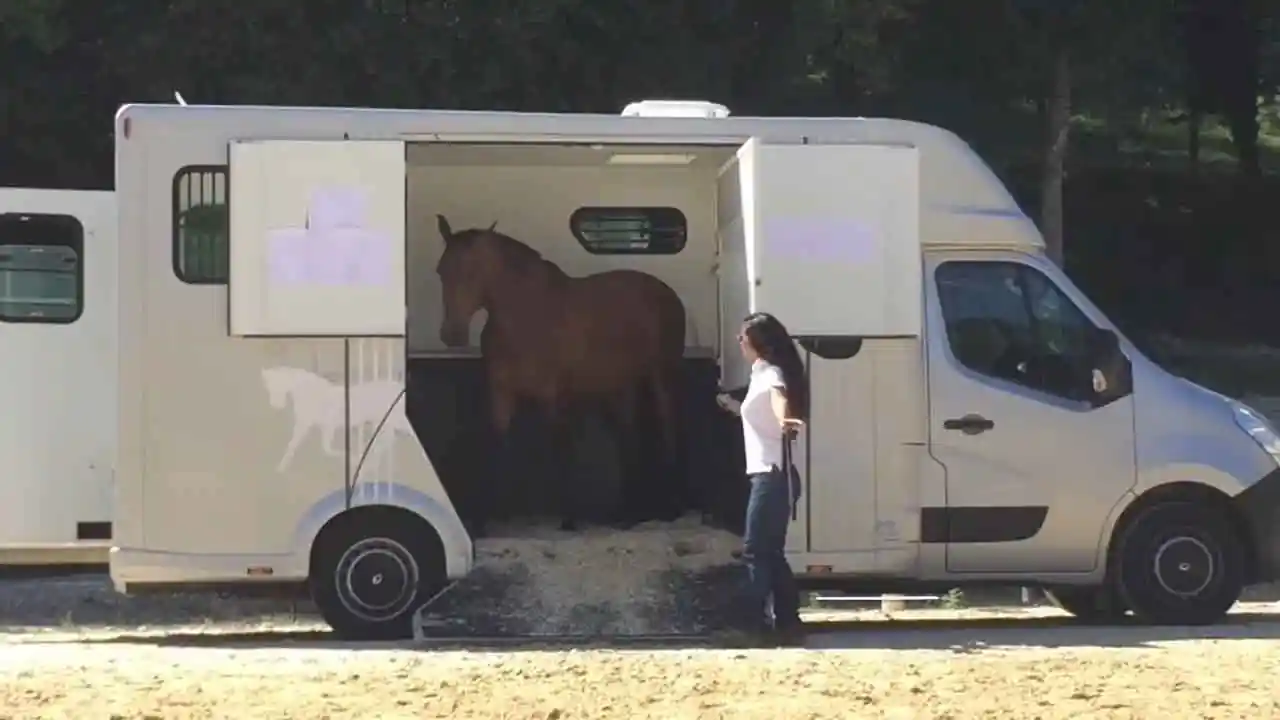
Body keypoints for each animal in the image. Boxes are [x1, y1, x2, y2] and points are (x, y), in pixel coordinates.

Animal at [434, 214, 687, 532]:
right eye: (441, 271)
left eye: (474, 270)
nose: (451, 334)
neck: (526, 318)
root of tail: (668, 293)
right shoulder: (501, 393)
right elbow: (496, 445)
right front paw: (485, 520)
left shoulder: (553, 396)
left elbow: (560, 448)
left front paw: (568, 518)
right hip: (619, 386)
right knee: (628, 437)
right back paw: (626, 514)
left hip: (661, 376)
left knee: (667, 427)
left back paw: (670, 508)